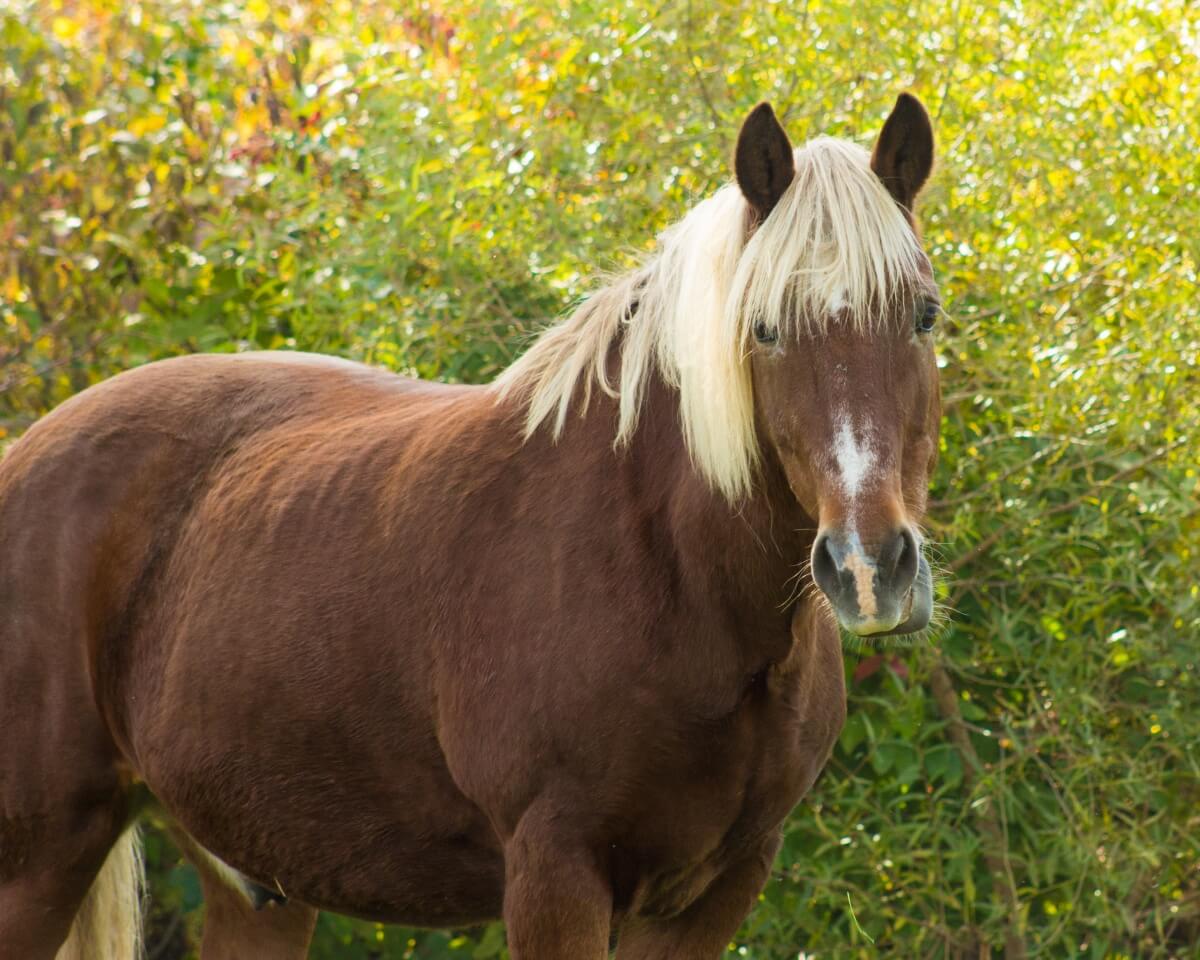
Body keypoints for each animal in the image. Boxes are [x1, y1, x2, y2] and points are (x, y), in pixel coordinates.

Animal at [0, 93, 942, 959]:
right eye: (765, 328)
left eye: (925, 314)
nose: (869, 569)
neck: (665, 571)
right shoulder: (555, 878)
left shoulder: (717, 890)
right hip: (39, 865)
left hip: (254, 884)